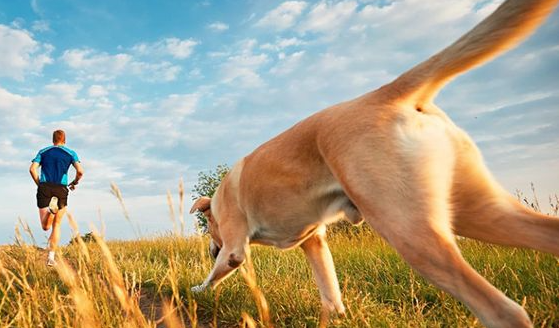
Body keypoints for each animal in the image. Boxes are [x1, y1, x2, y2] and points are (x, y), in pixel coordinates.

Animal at [189, 1, 559, 326]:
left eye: (211, 229)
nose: (209, 250)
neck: (220, 198)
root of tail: (386, 92)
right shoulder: (314, 241)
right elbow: (330, 289)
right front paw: (335, 316)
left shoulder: (235, 249)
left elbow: (214, 275)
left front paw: (196, 289)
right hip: (480, 211)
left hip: (409, 230)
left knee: (502, 311)